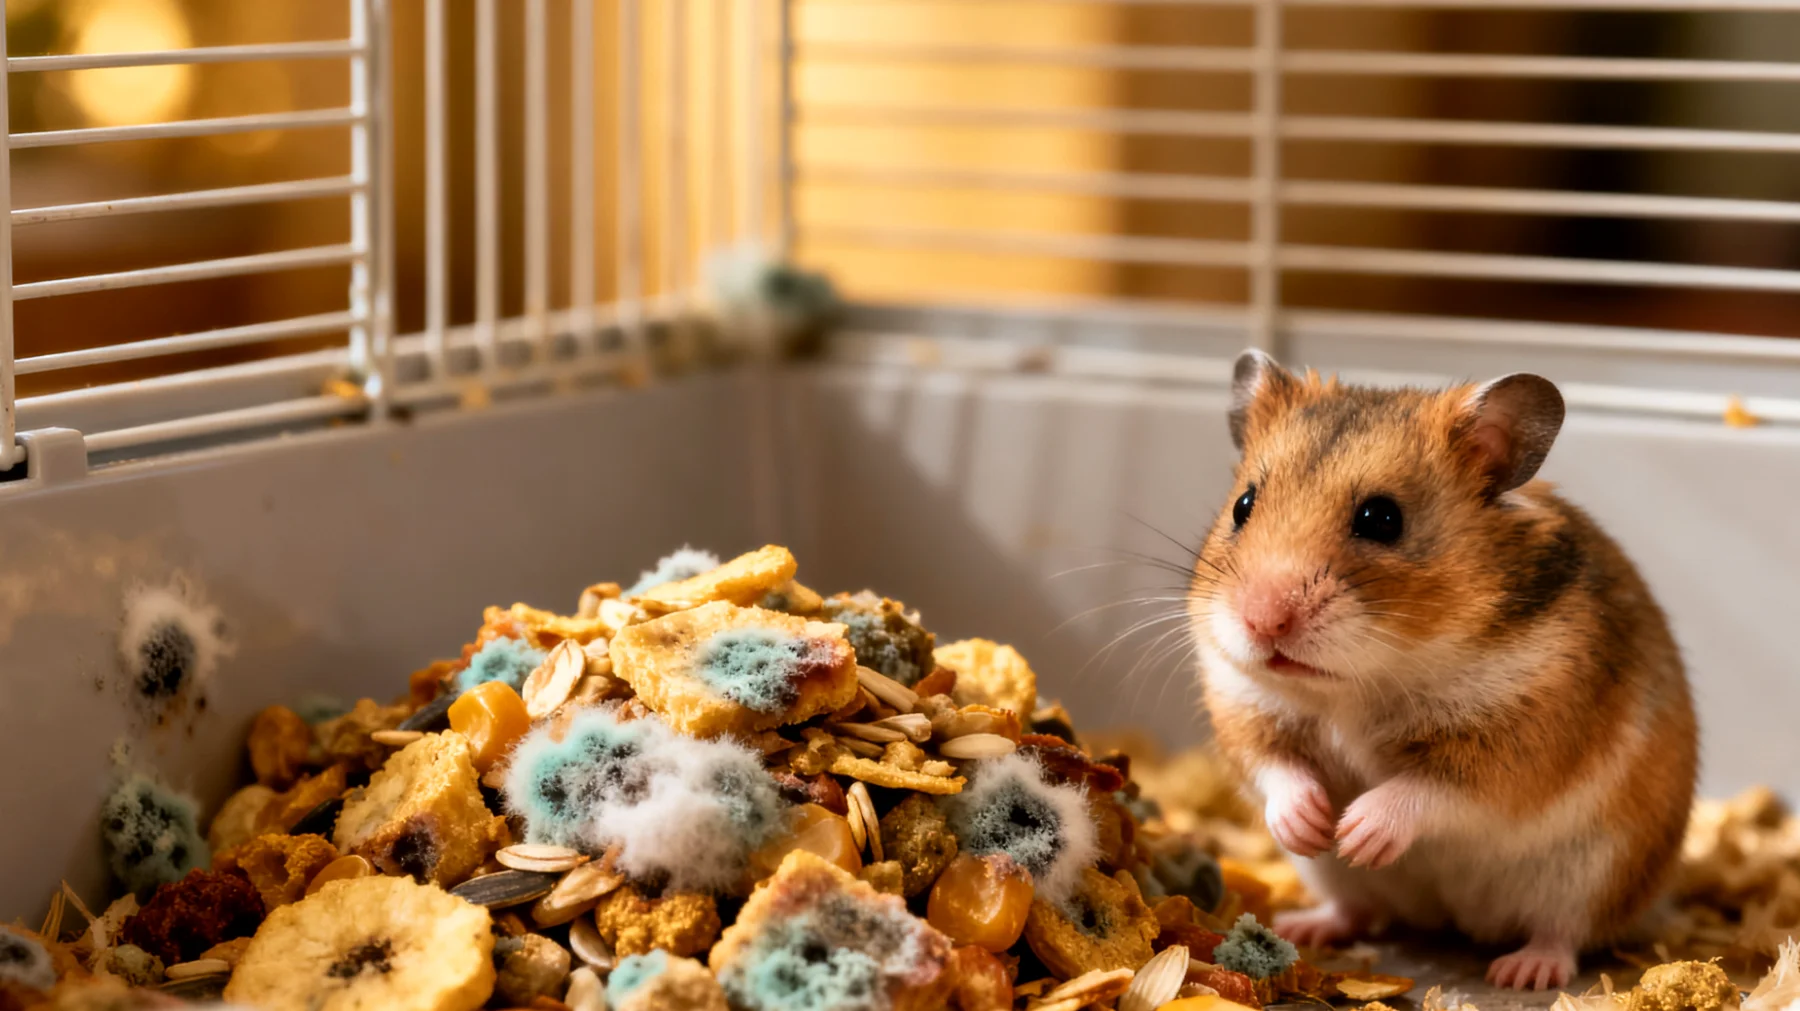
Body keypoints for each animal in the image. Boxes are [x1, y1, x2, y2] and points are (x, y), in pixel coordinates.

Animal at [1188, 350, 1697, 991]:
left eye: (1382, 518)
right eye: (1243, 505)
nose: (1262, 621)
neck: (1357, 685)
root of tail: (1454, 921)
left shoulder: (1515, 746)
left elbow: (1428, 791)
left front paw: (1357, 831)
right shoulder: (1243, 706)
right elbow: (1277, 768)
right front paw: (1313, 825)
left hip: (1596, 870)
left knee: (1565, 932)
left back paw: (1522, 971)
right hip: (1333, 878)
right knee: (1357, 908)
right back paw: (1308, 926)